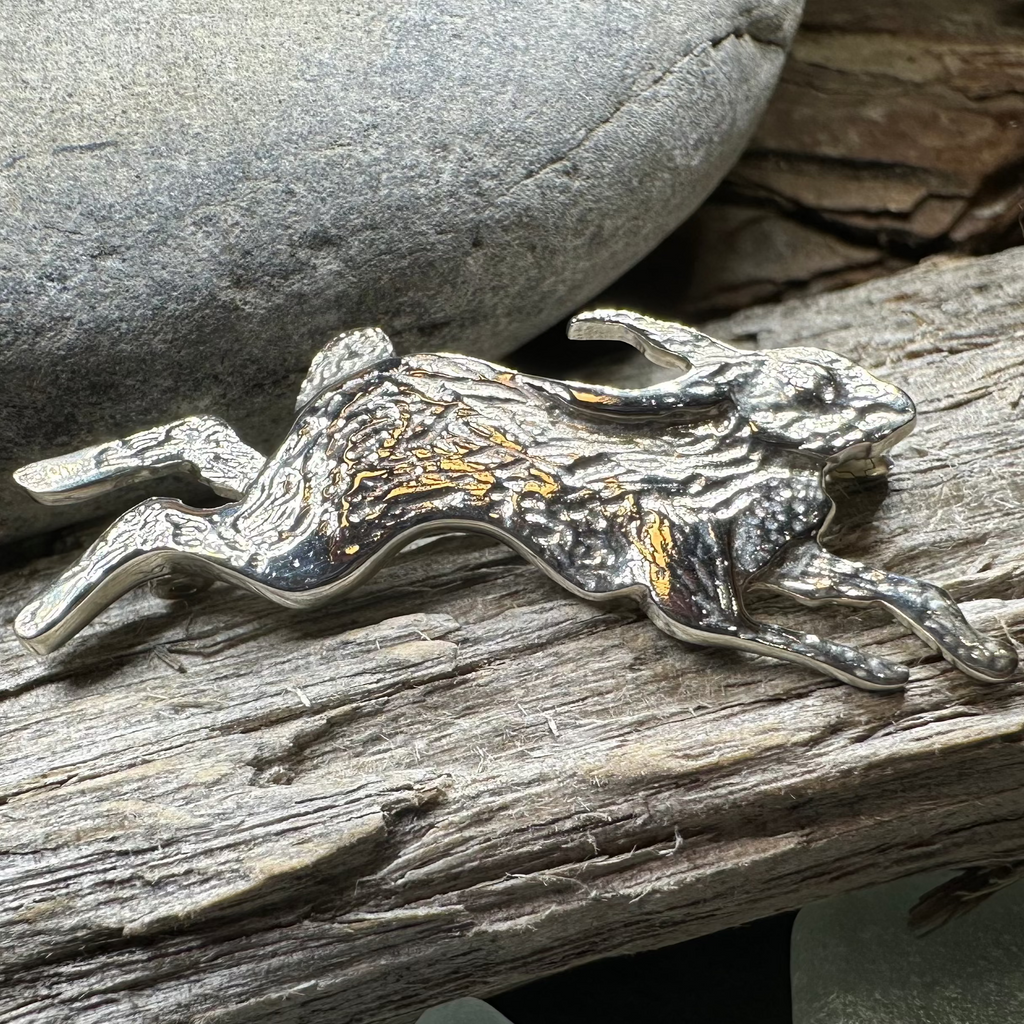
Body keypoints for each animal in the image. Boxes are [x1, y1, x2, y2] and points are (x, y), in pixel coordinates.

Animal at [12, 310, 1017, 691]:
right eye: (815, 391)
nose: (903, 409)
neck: (731, 463)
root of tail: (344, 385)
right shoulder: (688, 592)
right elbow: (772, 633)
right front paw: (878, 671)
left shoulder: (799, 562)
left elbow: (899, 586)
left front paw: (983, 652)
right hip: (314, 548)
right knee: (161, 519)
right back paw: (41, 618)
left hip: (296, 505)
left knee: (198, 443)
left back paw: (47, 481)